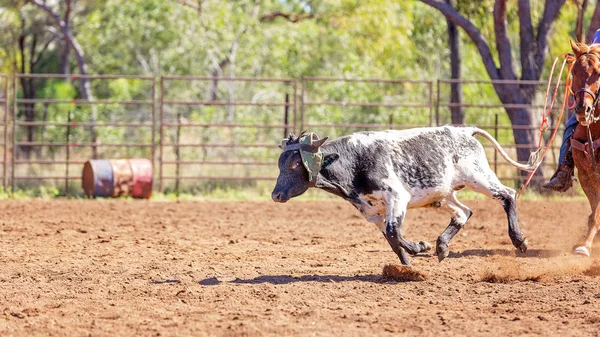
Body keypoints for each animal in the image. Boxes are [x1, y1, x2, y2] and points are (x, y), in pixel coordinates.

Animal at [274, 126, 536, 266]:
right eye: (280, 163)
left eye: (296, 163)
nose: (275, 194)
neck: (353, 161)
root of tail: (463, 130)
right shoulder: (372, 212)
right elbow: (392, 238)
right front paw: (408, 262)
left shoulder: (397, 197)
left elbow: (393, 232)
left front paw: (419, 247)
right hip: (442, 195)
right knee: (464, 212)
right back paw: (442, 247)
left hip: (479, 177)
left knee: (508, 195)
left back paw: (519, 240)